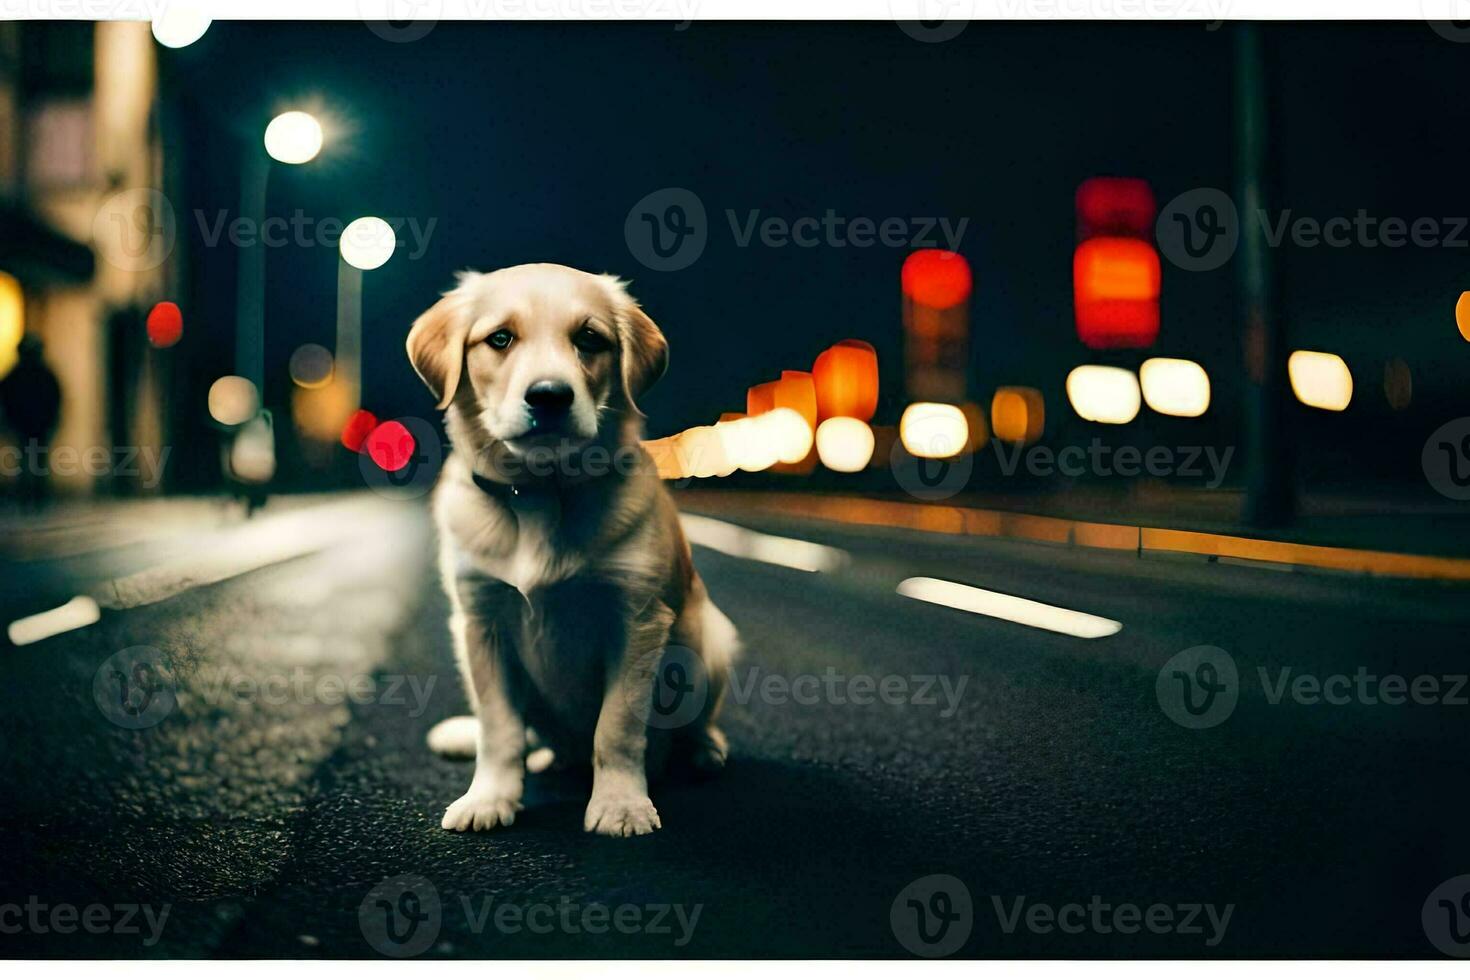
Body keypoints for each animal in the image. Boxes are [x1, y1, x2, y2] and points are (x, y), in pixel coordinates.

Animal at [405, 260, 735, 834]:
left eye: (589, 338)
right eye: (500, 338)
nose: (550, 395)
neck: (542, 492)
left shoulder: (637, 619)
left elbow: (617, 727)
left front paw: (620, 804)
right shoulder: (480, 621)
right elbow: (499, 727)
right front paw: (489, 798)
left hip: (711, 637)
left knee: (693, 723)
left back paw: (704, 750)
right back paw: (544, 758)